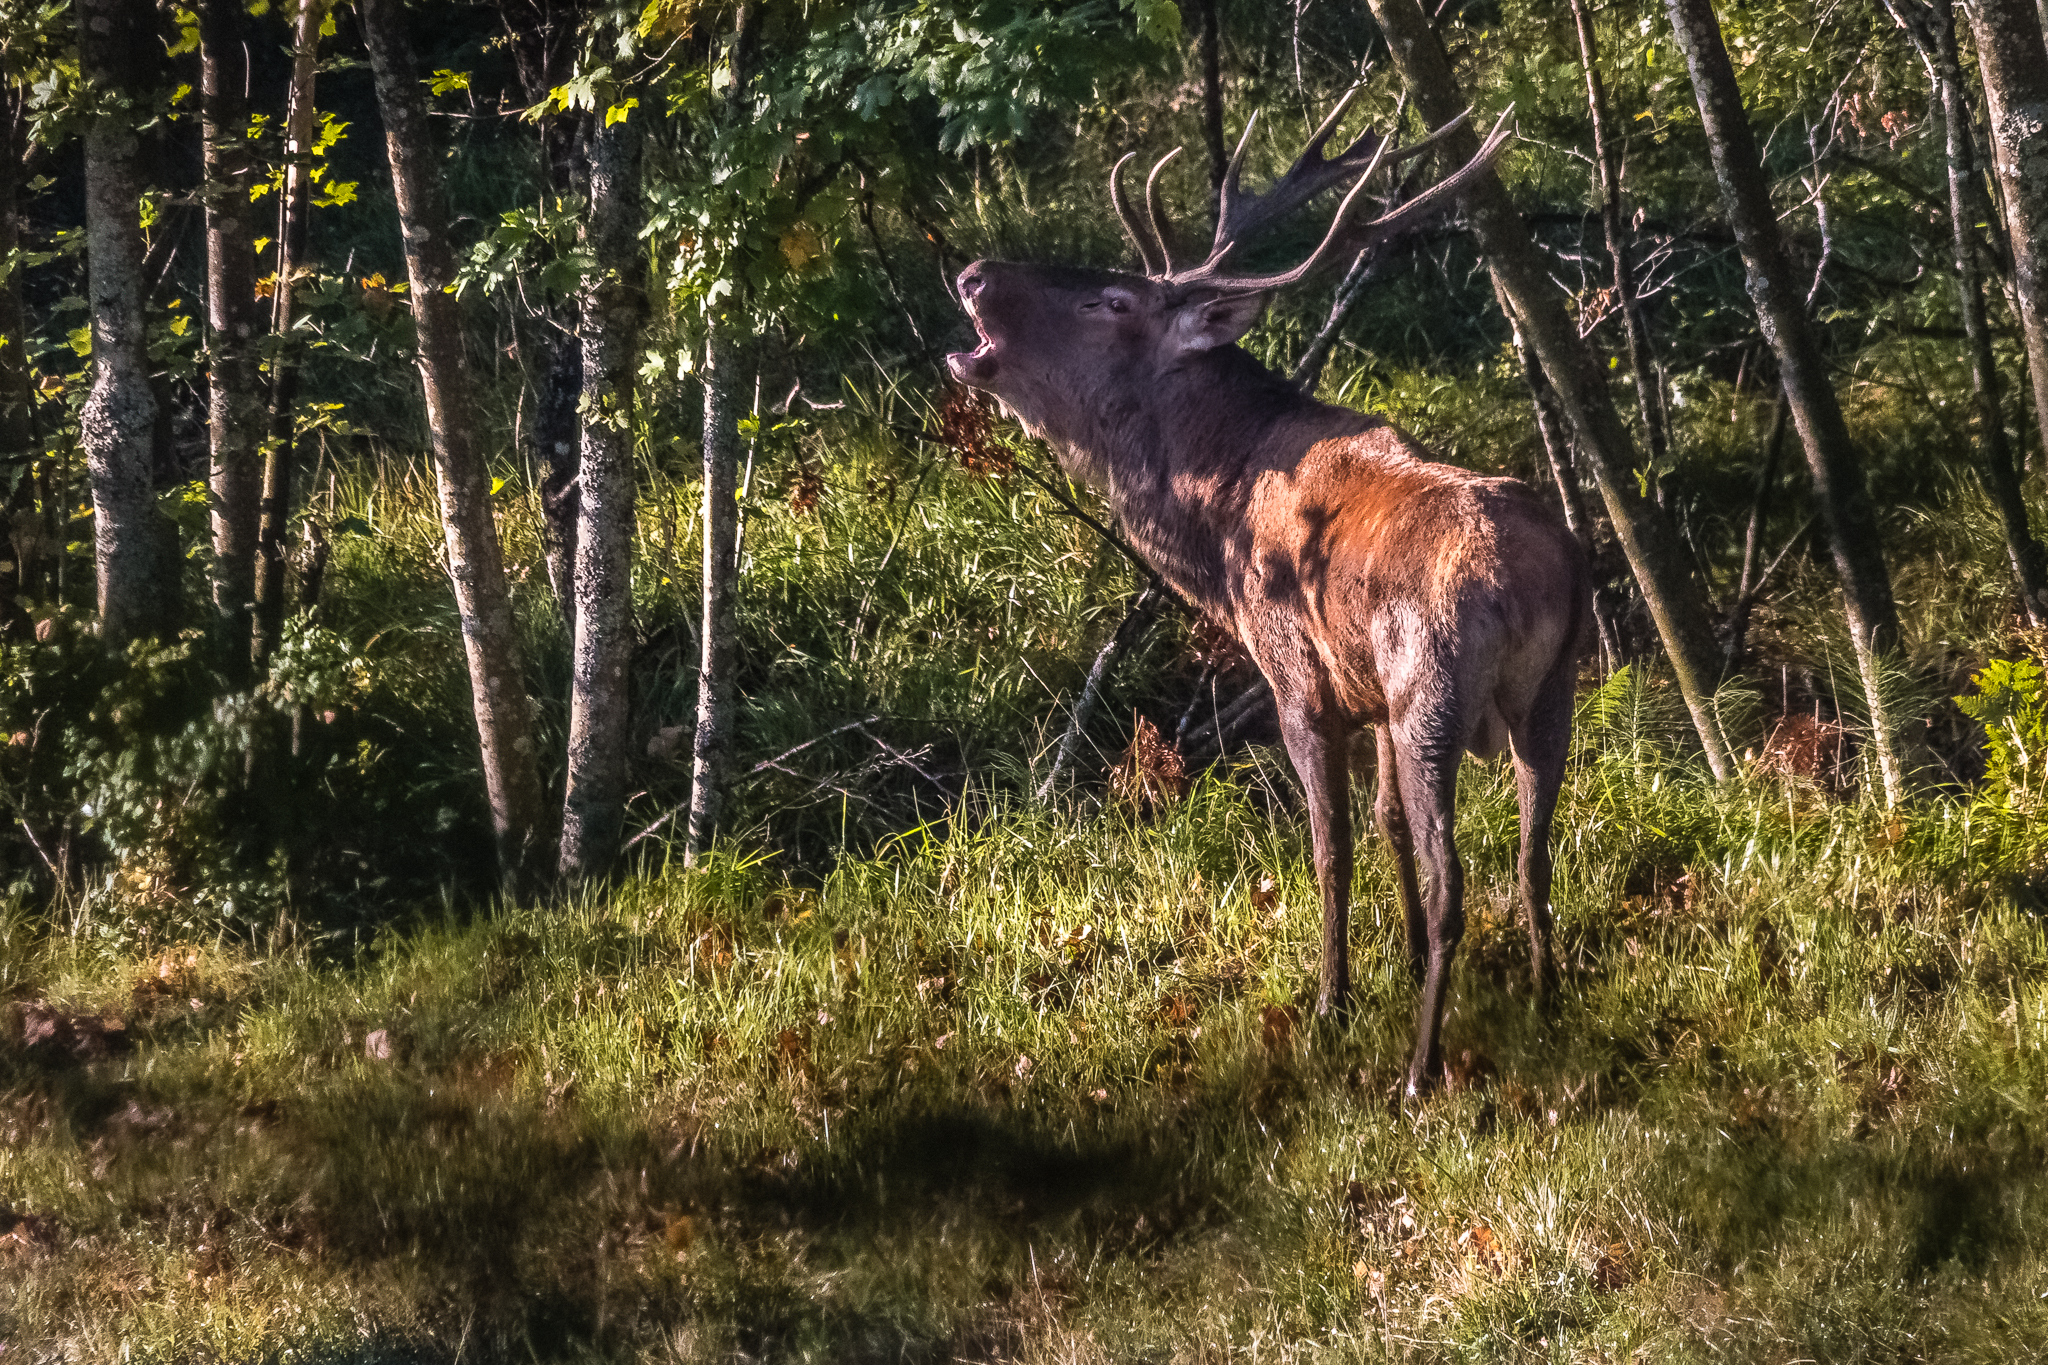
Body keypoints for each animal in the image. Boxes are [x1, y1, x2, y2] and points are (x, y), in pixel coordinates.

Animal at [945, 97, 1589, 1095]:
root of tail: (1532, 577)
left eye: (1110, 301)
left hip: (1432, 691)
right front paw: (1399, 960)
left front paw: (1333, 1000)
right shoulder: (1366, 695)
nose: (973, 273)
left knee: (1457, 880)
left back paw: (1419, 1068)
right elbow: (1385, 827)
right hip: (1554, 684)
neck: (1216, 528)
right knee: (1534, 856)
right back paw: (1543, 1001)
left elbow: (1332, 846)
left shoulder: (1298, 677)